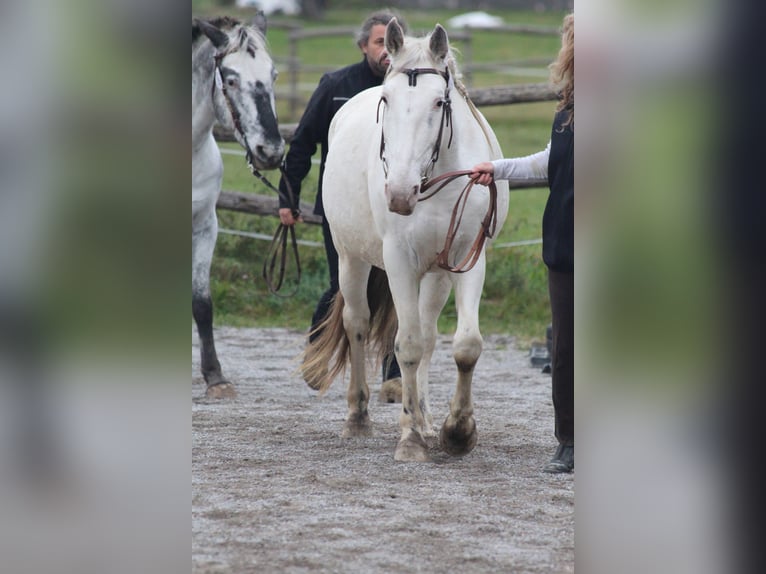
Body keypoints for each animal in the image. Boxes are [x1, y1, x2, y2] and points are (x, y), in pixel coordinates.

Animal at [304, 20, 510, 464]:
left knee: (429, 333)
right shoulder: (399, 260)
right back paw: (359, 418)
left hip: (436, 275)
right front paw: (410, 439)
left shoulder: (468, 259)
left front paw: (457, 431)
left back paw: (427, 419)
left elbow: (464, 345)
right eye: (387, 99)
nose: (399, 193)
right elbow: (408, 345)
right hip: (351, 259)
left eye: (439, 102)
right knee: (358, 324)